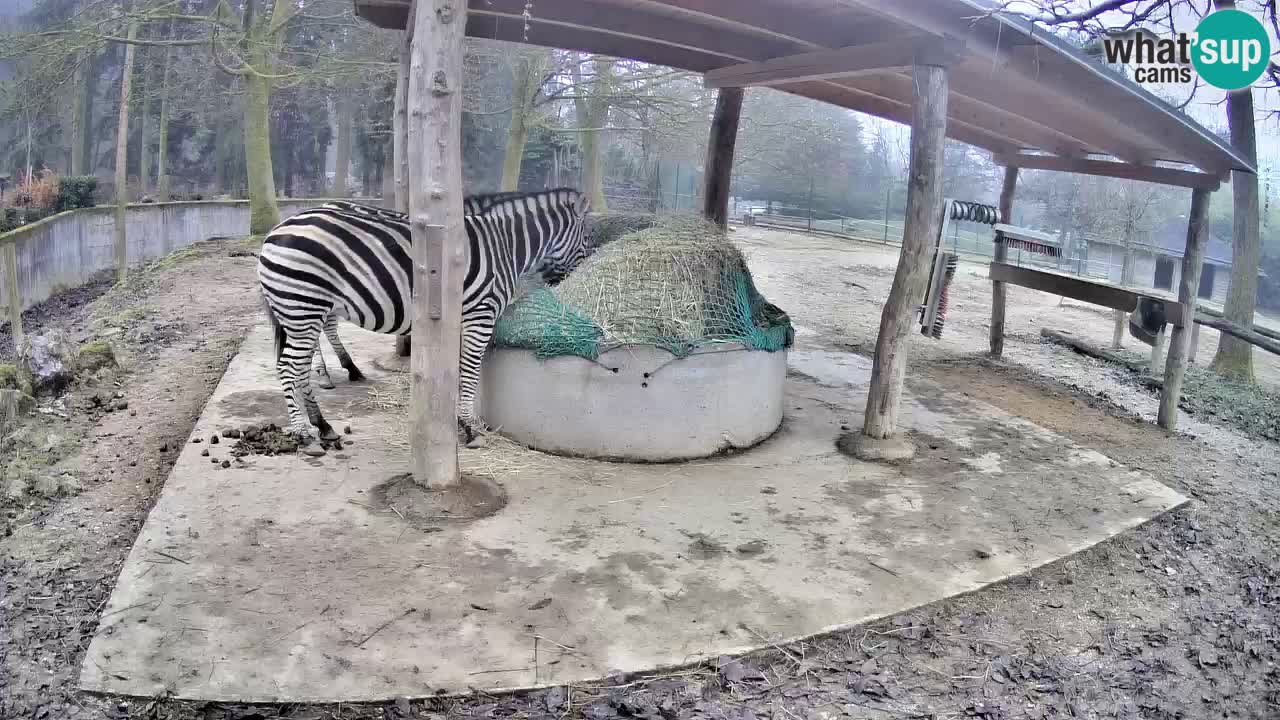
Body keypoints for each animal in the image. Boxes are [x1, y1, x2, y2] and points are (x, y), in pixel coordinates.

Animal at [258, 188, 592, 444]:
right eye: (588, 239)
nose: (566, 279)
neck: (504, 246)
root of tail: (274, 232)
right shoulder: (480, 314)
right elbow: (470, 370)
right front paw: (469, 427)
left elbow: (460, 371)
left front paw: (458, 418)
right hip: (304, 306)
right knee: (288, 367)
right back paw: (303, 431)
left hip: (303, 311)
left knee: (300, 366)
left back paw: (323, 424)